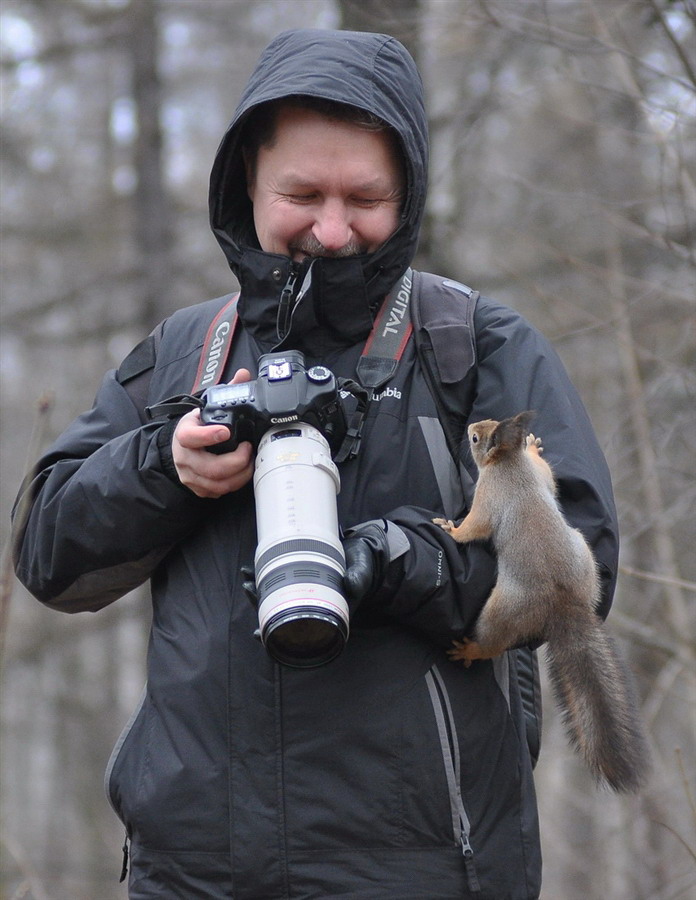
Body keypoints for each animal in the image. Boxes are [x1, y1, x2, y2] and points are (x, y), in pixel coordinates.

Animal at [432, 412, 648, 792]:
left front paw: (451, 530)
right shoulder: (538, 477)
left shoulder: (488, 495)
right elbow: (547, 474)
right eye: (485, 424)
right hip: (583, 556)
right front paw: (533, 446)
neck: (508, 464)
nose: (471, 425)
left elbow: (476, 526)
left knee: (492, 640)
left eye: (475, 439)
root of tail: (562, 605)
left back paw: (471, 650)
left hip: (501, 609)